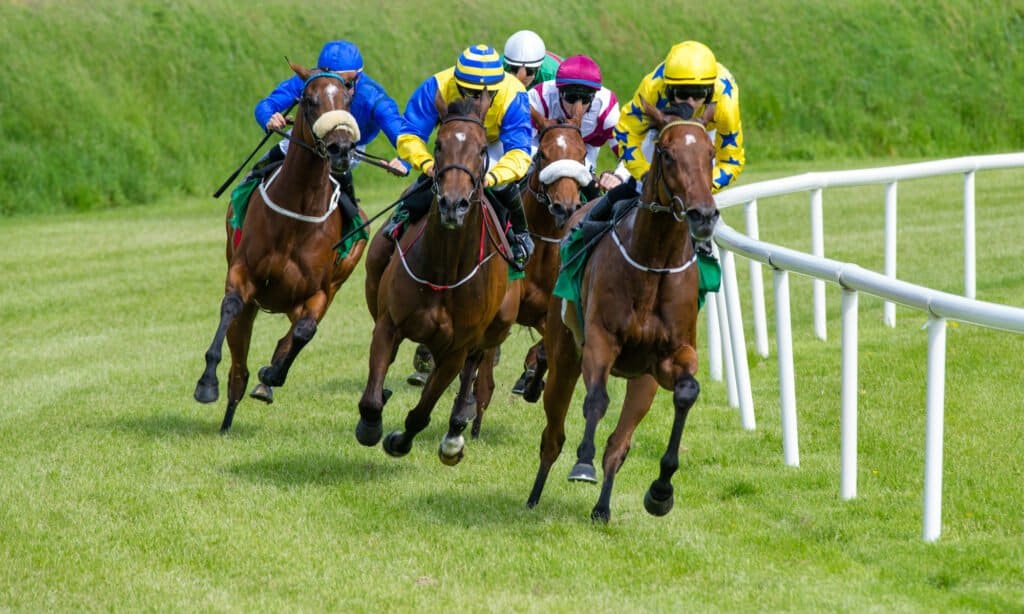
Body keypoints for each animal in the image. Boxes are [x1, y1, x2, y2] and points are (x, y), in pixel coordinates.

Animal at [193, 63, 366, 431]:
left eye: (347, 100)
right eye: (310, 100)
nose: (341, 148)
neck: (298, 212)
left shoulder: (317, 292)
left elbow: (304, 332)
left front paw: (272, 374)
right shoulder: (242, 274)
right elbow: (230, 307)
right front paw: (206, 384)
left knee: (291, 336)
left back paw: (266, 379)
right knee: (238, 370)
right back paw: (227, 417)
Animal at [358, 93, 520, 462]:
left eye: (481, 149)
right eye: (439, 144)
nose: (452, 204)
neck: (445, 269)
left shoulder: (457, 347)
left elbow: (422, 411)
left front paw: (402, 440)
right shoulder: (389, 324)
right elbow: (373, 395)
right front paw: (370, 425)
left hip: (497, 325)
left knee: (474, 365)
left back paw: (457, 428)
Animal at [468, 107, 589, 437]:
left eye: (582, 153)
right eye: (543, 154)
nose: (565, 207)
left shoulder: (549, 314)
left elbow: (544, 351)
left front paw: (533, 382)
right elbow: (483, 373)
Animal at [524, 101, 716, 521]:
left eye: (710, 153)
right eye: (667, 153)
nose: (704, 215)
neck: (654, 263)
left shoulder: (668, 357)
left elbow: (687, 391)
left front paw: (661, 490)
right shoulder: (600, 339)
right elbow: (596, 400)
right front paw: (583, 463)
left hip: (641, 381)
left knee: (619, 444)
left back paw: (602, 509)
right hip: (565, 354)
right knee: (552, 434)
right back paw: (534, 494)